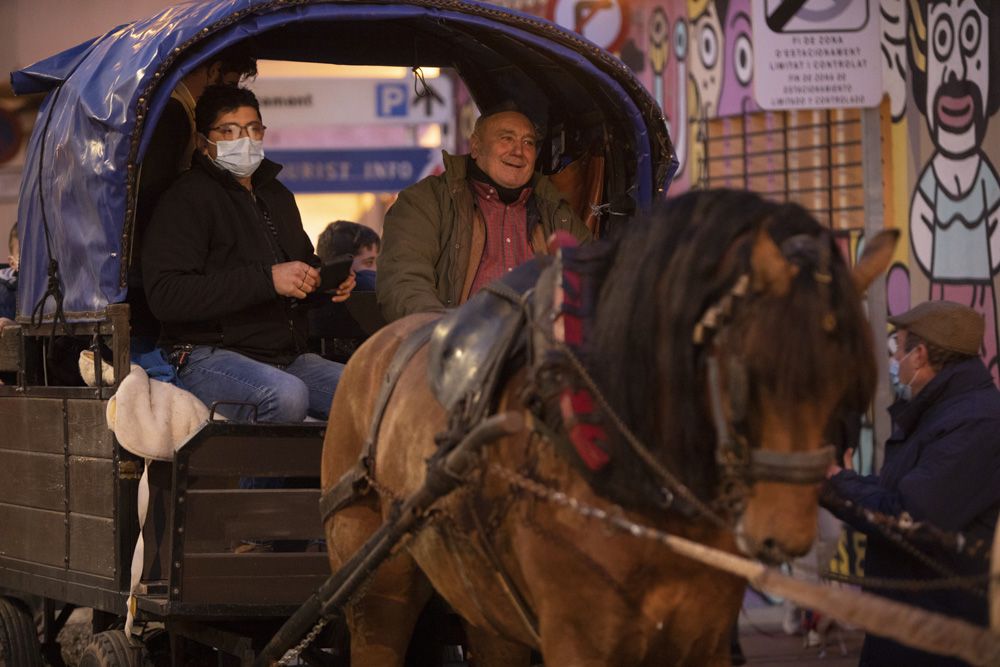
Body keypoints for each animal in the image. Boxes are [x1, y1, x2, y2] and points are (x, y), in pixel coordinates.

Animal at [318, 189, 892, 667]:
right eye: (748, 375)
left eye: (848, 384)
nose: (784, 535)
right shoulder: (580, 639)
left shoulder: (701, 638)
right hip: (376, 585)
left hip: (484, 598)